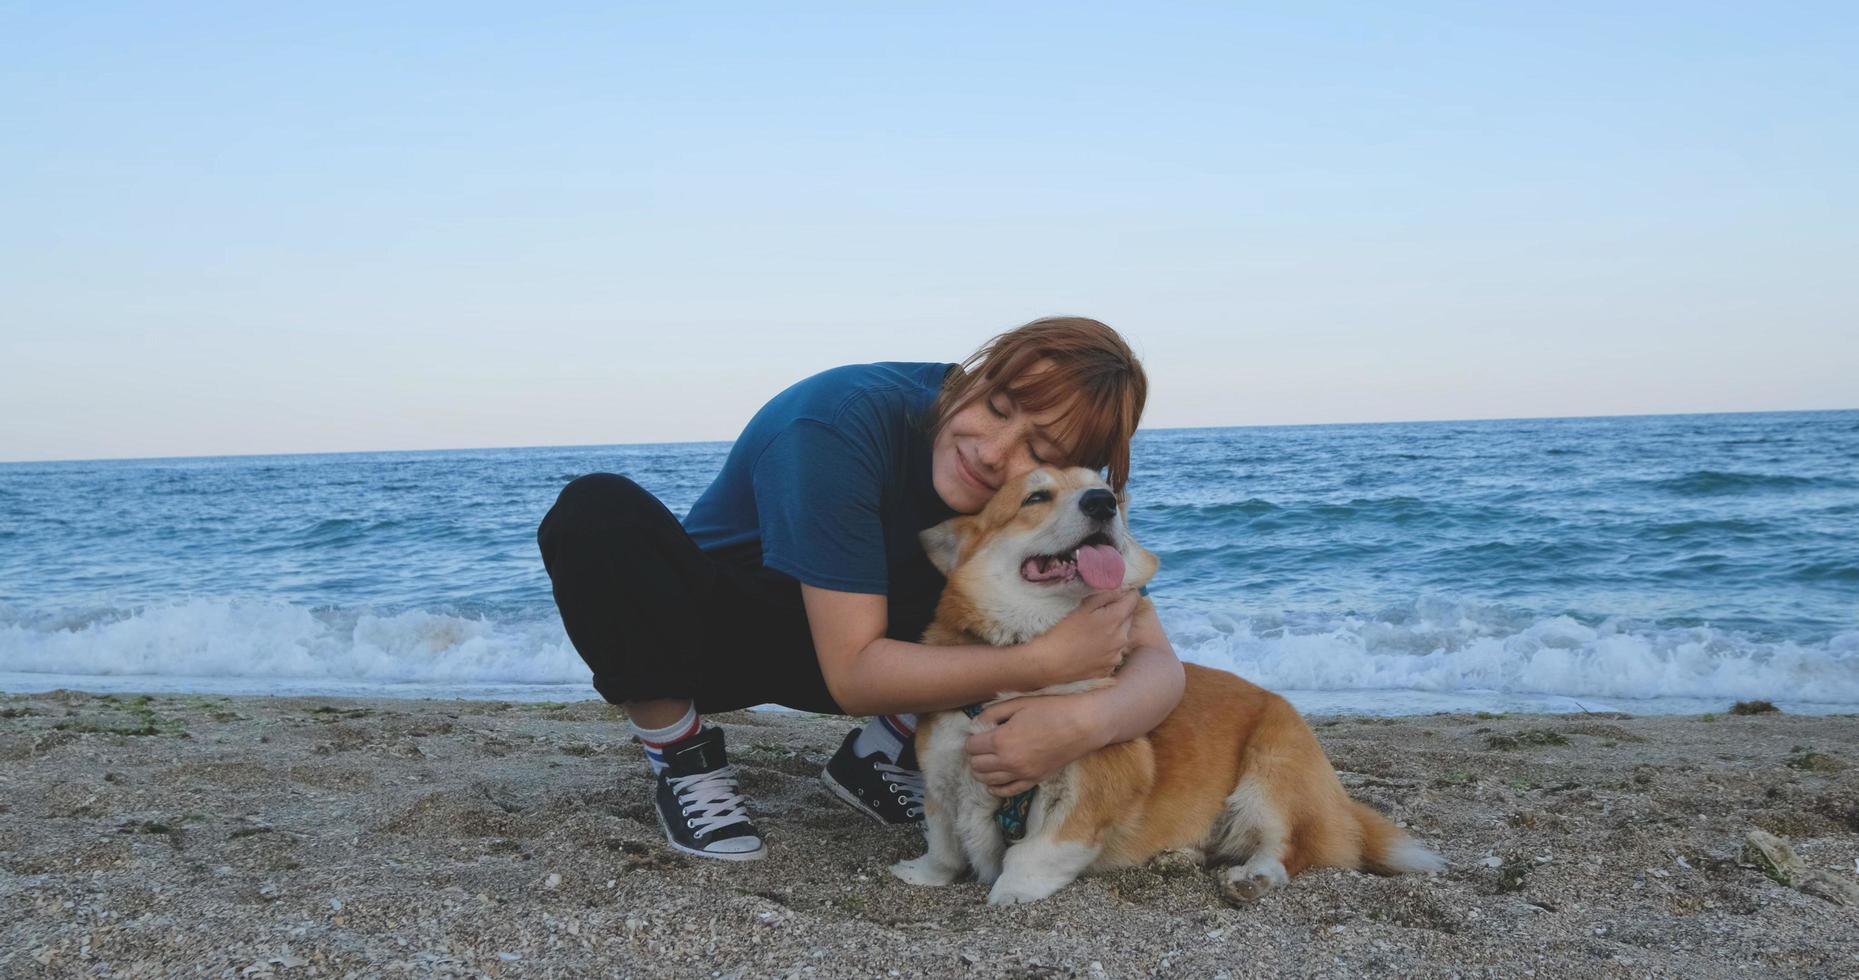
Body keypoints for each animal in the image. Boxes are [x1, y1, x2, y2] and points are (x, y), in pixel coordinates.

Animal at [892, 466, 1442, 903]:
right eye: (1035, 497)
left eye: (1101, 488)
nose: (1103, 502)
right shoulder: (941, 778)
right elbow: (942, 844)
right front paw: (923, 874)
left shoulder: (1096, 781)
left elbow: (1033, 853)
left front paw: (1009, 892)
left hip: (1272, 770)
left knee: (1288, 847)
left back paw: (1254, 877)